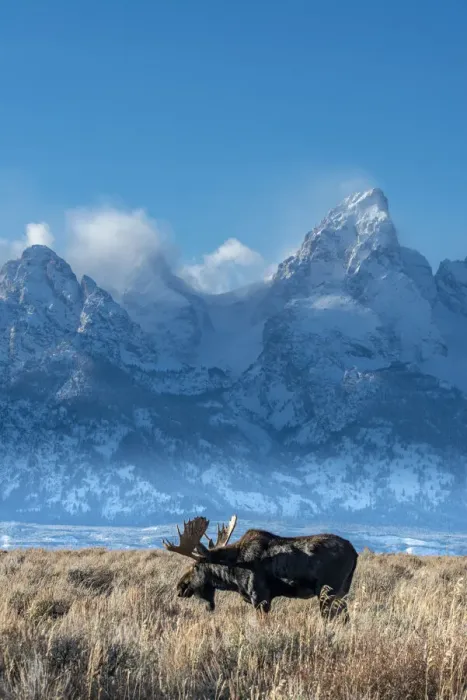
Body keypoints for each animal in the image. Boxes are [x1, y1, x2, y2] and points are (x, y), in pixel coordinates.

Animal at [163, 515, 358, 620]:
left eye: (195, 566)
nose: (180, 587)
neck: (232, 574)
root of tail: (355, 553)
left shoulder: (260, 597)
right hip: (342, 592)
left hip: (328, 592)